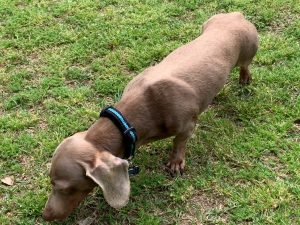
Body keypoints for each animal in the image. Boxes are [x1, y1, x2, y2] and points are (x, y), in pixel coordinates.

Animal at [42, 11, 258, 221]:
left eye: (64, 187)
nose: (45, 215)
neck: (130, 119)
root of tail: (236, 15)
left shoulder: (188, 123)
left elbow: (179, 142)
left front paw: (176, 163)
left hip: (249, 50)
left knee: (245, 66)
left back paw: (244, 78)